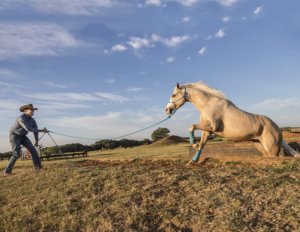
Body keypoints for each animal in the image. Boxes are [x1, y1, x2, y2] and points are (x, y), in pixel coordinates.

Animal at [165, 82, 298, 162]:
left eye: (174, 94)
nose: (167, 109)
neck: (208, 104)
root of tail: (276, 127)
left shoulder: (212, 126)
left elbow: (191, 126)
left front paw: (193, 143)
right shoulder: (207, 131)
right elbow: (202, 144)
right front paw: (194, 160)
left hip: (272, 149)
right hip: (260, 146)